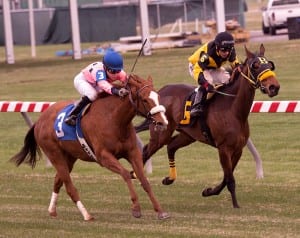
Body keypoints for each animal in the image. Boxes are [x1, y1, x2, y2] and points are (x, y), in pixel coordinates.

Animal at [10, 75, 170, 221]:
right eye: (144, 99)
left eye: (158, 96)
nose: (163, 122)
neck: (113, 119)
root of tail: (39, 121)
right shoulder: (103, 157)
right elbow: (125, 174)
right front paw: (136, 208)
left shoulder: (133, 153)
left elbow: (144, 180)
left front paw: (160, 211)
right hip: (54, 154)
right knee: (69, 187)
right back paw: (86, 215)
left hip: (69, 157)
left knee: (57, 181)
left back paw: (52, 210)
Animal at [135, 44, 280, 208]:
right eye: (255, 66)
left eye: (269, 65)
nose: (274, 87)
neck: (233, 109)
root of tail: (159, 92)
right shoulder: (224, 149)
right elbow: (230, 179)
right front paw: (236, 205)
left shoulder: (238, 149)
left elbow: (226, 177)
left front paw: (209, 191)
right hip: (161, 135)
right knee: (146, 151)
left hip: (188, 135)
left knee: (171, 146)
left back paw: (169, 179)